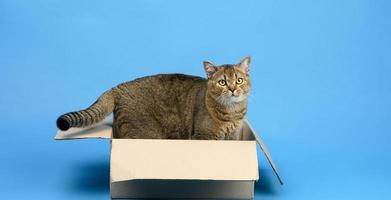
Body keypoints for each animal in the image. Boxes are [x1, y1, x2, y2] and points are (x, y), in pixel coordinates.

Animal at [56, 56, 251, 140]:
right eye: (222, 82)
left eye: (239, 80)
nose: (233, 89)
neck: (231, 112)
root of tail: (119, 86)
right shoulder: (204, 136)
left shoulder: (233, 137)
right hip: (144, 133)